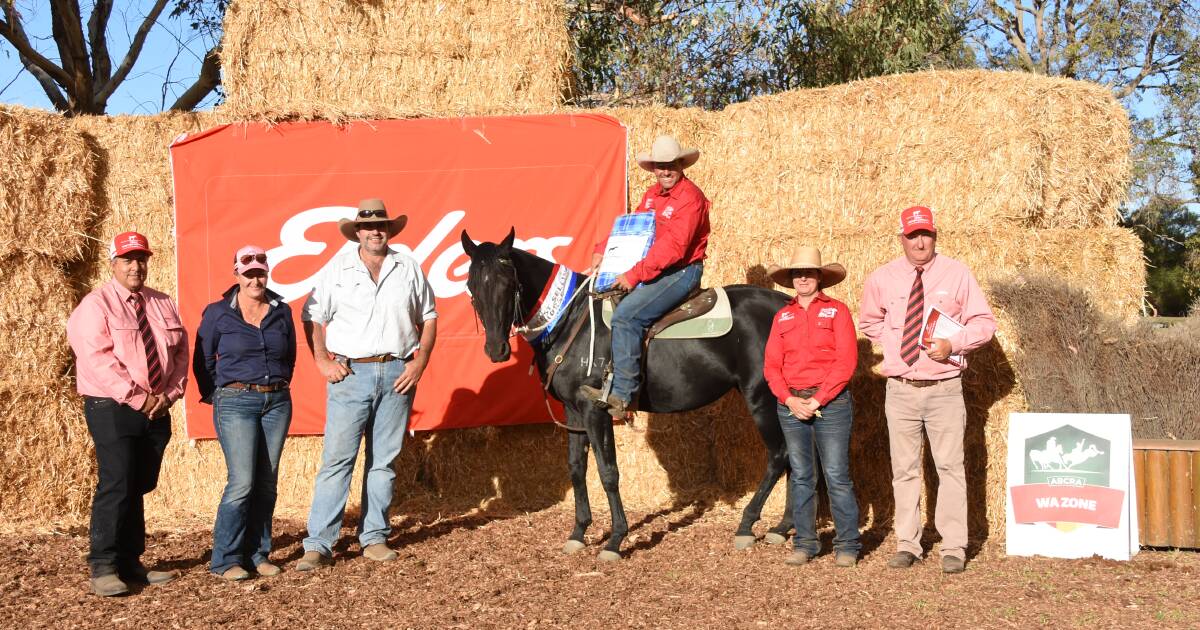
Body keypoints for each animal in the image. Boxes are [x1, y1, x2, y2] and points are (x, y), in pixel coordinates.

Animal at [463, 226, 792, 559]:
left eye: (508, 282)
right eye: (471, 285)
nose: (496, 349)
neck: (571, 322)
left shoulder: (595, 410)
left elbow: (608, 472)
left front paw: (615, 539)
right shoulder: (573, 411)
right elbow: (576, 468)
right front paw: (578, 532)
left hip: (761, 398)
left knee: (780, 455)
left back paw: (747, 525)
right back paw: (782, 527)